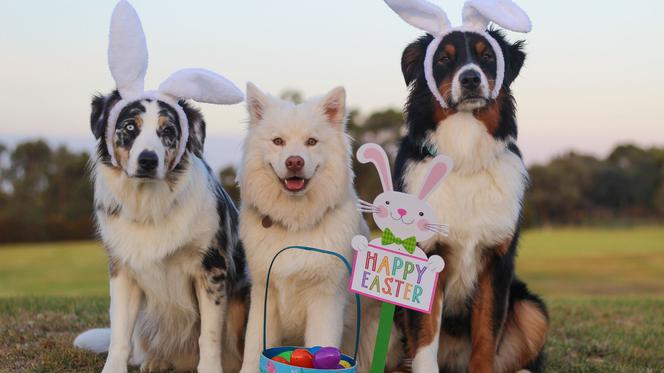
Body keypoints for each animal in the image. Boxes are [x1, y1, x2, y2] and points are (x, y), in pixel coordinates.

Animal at [392, 29, 548, 372]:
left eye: (487, 56)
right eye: (442, 58)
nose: (471, 79)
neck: (463, 156)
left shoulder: (496, 263)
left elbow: (486, 337)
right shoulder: (425, 255)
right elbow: (424, 339)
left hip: (532, 308)